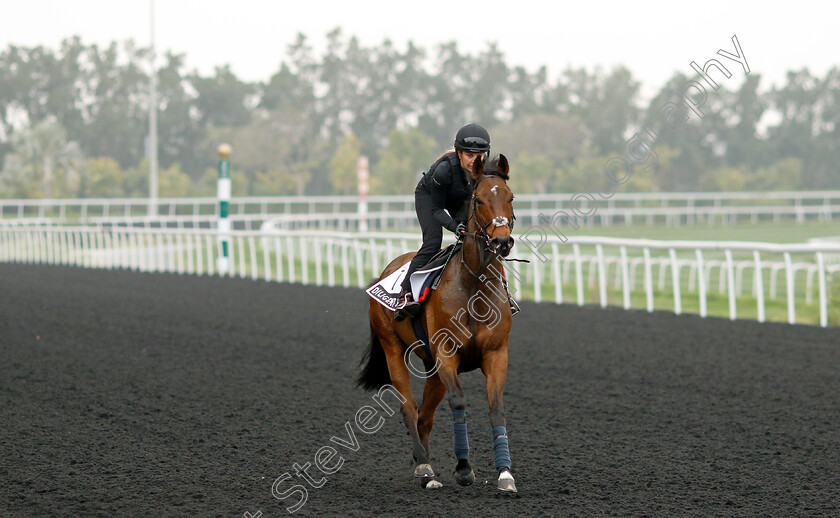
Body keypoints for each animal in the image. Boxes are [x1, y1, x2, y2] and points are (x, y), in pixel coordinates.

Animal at [356, 153, 516, 492]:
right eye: (479, 200)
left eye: (510, 197)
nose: (502, 241)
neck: (473, 286)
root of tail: (384, 272)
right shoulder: (447, 354)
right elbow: (459, 402)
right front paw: (464, 468)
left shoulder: (497, 354)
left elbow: (496, 409)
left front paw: (505, 473)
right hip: (393, 349)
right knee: (409, 408)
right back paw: (426, 469)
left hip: (431, 367)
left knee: (424, 416)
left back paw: (423, 463)